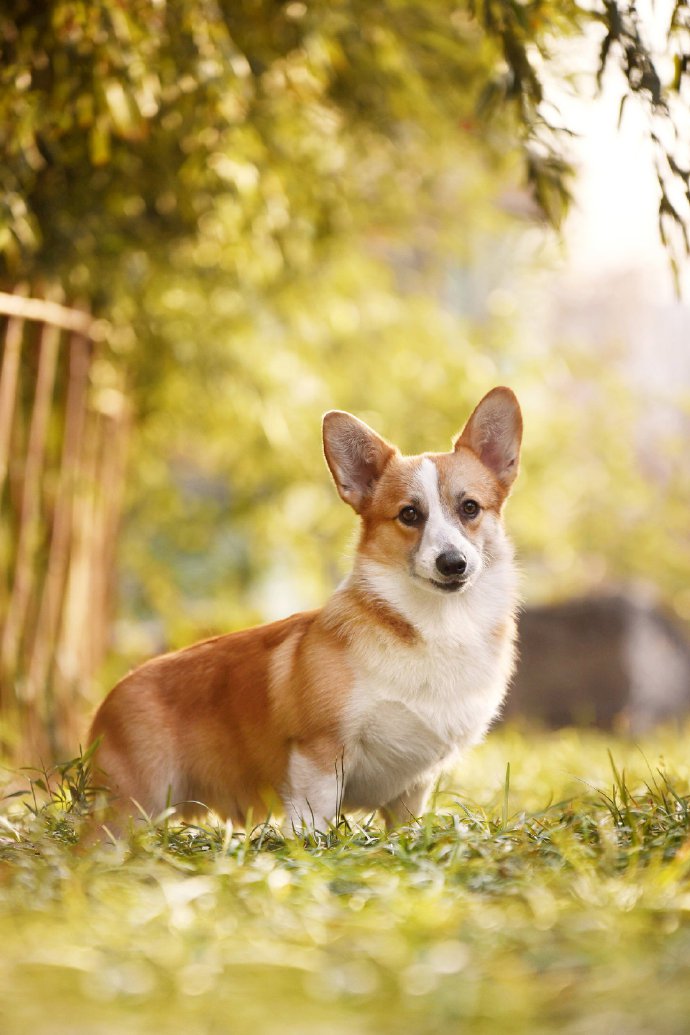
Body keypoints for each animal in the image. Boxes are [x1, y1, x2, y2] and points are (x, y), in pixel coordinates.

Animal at [90, 389, 523, 832]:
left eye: (470, 508)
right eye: (409, 514)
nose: (453, 563)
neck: (438, 624)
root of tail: (108, 700)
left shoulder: (412, 788)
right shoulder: (319, 756)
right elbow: (314, 823)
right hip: (130, 810)